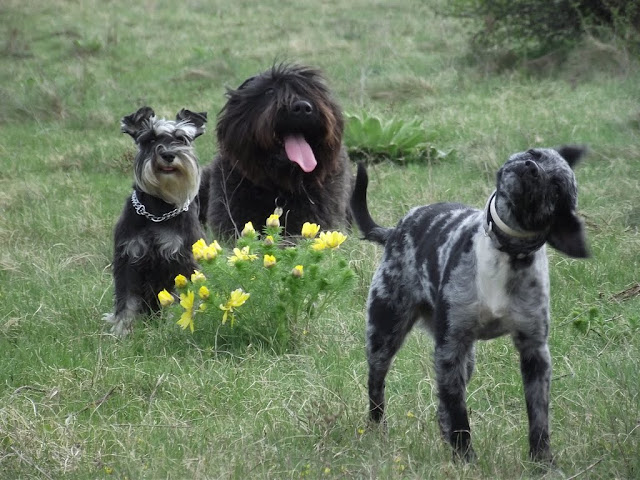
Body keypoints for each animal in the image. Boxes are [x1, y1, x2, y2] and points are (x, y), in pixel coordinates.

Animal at [104, 106, 207, 336]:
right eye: (150, 139)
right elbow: (127, 299)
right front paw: (122, 329)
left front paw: (172, 326)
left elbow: (177, 298)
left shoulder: (181, 261)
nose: (168, 155)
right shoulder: (128, 259)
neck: (158, 210)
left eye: (182, 139)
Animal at [350, 146, 589, 463]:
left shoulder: (534, 353)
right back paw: (378, 429)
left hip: (465, 359)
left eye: (557, 186)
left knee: (440, 405)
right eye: (534, 153)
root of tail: (394, 231)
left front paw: (542, 462)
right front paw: (466, 458)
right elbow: (458, 412)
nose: (531, 166)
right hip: (384, 333)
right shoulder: (450, 347)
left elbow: (538, 418)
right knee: (377, 388)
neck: (505, 253)